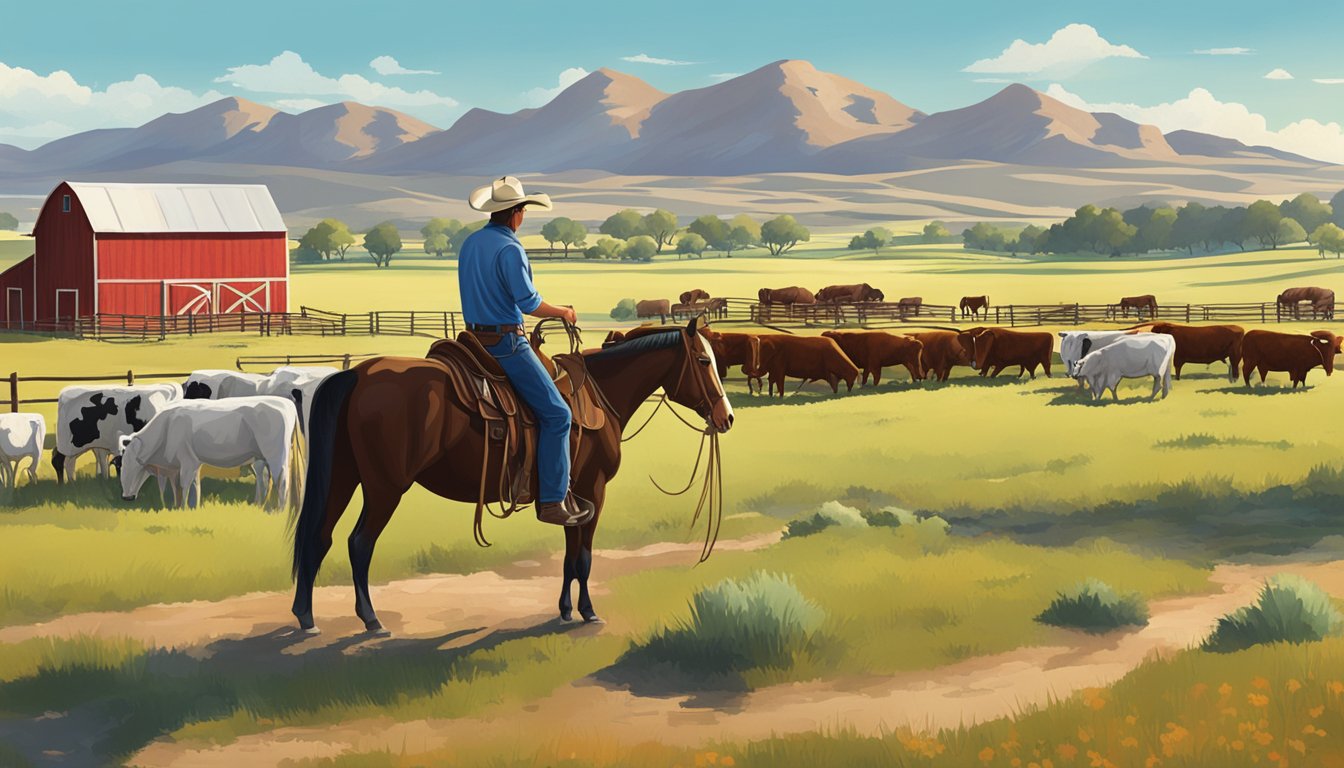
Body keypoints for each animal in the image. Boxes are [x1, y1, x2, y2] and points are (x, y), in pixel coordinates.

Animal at [119, 395, 303, 511]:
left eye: (135, 463)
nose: (126, 497)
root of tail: (287, 403)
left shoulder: (188, 462)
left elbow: (185, 486)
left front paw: (182, 509)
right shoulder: (190, 464)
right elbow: (193, 487)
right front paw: (189, 508)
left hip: (277, 455)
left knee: (282, 481)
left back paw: (279, 510)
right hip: (259, 458)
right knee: (263, 479)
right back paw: (258, 505)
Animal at [288, 316, 741, 634]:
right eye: (704, 361)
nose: (727, 417)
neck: (600, 394)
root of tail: (355, 375)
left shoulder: (573, 497)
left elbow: (569, 556)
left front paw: (565, 610)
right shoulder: (593, 490)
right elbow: (584, 557)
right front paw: (588, 611)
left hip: (344, 477)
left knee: (319, 537)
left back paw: (305, 616)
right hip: (385, 487)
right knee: (359, 543)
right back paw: (370, 619)